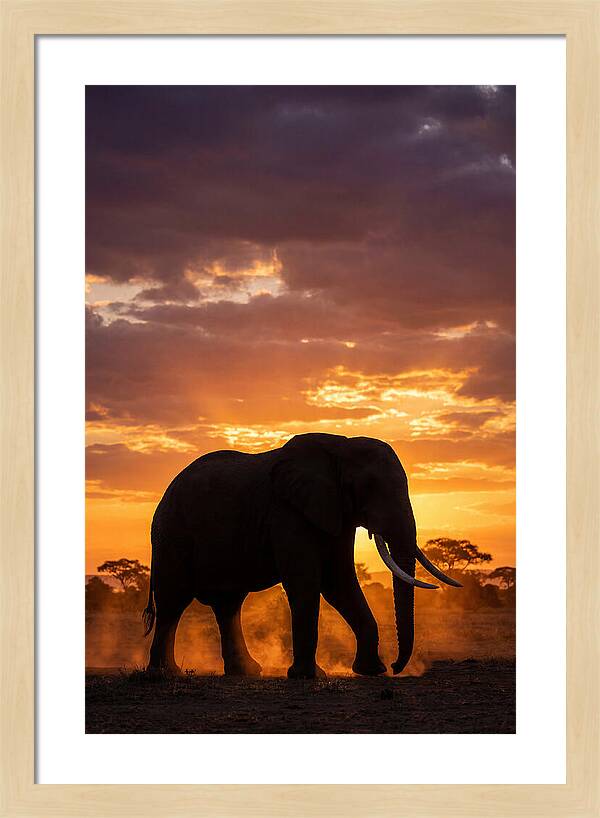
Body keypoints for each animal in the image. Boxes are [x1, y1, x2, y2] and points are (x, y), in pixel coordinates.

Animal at [143, 432, 460, 679]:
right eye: (368, 486)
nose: (396, 666)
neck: (340, 446)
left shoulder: (335, 512)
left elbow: (339, 582)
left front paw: (372, 671)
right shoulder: (287, 511)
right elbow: (307, 583)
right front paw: (308, 676)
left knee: (228, 605)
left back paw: (246, 672)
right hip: (172, 535)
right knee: (173, 602)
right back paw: (164, 674)